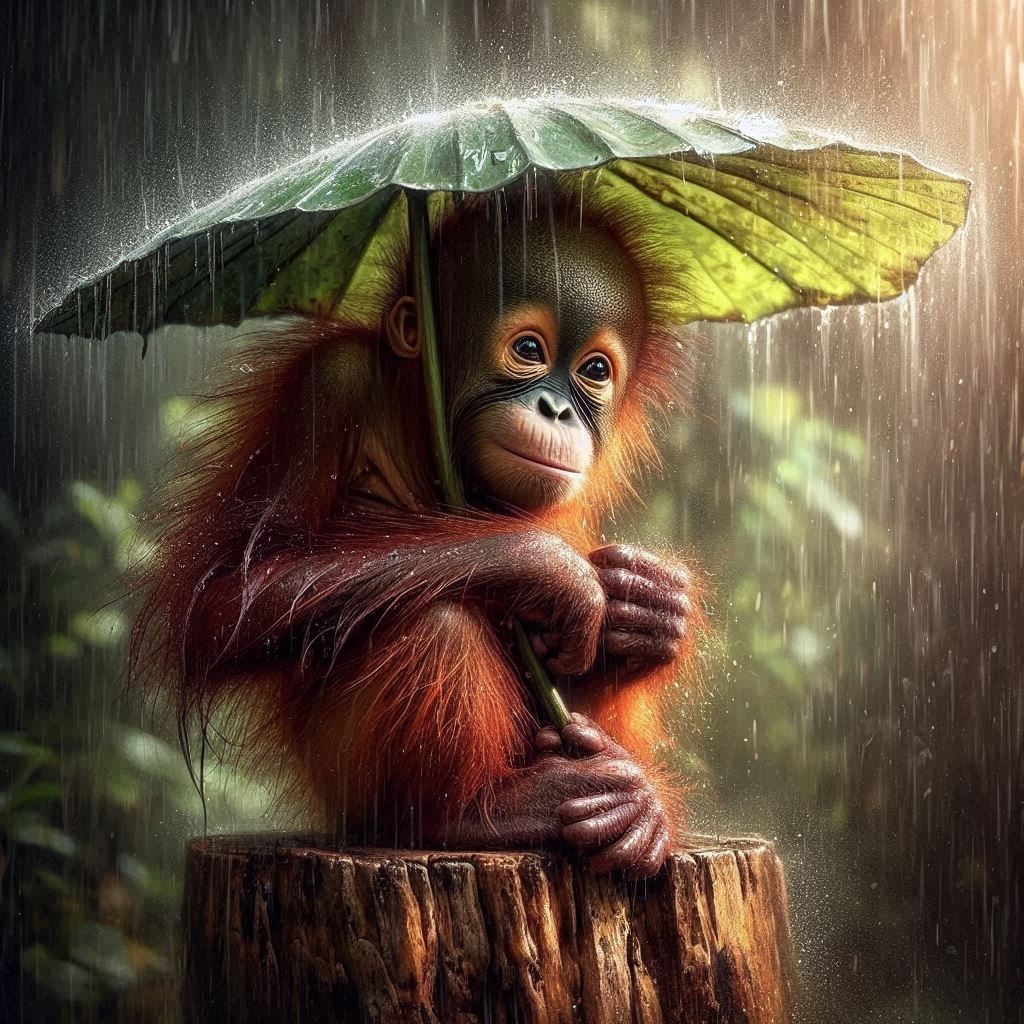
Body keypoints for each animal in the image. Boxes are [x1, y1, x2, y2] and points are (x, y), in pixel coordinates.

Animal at [133, 177, 697, 878]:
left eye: (595, 370)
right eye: (529, 350)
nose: (558, 410)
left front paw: (648, 605)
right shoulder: (329, 384)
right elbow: (223, 604)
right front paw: (549, 568)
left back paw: (629, 804)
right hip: (343, 780)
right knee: (440, 625)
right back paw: (474, 815)